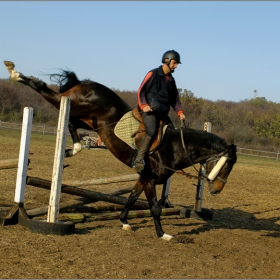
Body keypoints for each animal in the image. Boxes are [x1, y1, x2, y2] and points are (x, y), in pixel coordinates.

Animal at [3, 60, 236, 241]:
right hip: (71, 105)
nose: (216, 190)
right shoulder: (149, 179)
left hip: (88, 120)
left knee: (70, 123)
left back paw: (74, 149)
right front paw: (163, 235)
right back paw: (15, 74)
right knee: (45, 90)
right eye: (226, 166)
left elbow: (131, 197)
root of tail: (85, 83)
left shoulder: (144, 178)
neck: (173, 146)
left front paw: (124, 221)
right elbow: (155, 208)